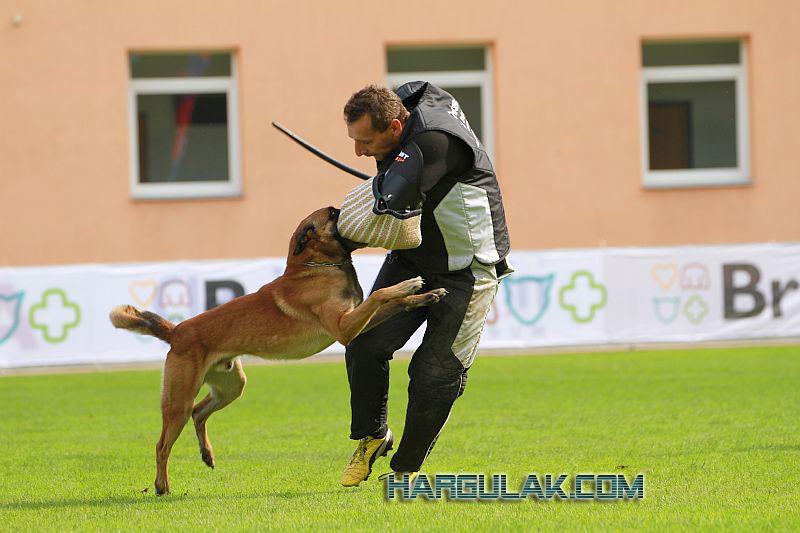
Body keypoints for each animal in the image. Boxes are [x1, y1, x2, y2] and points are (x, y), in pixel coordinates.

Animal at [109, 206, 446, 495]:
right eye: (334, 213)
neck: (315, 265)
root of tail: (177, 331)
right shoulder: (344, 328)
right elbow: (381, 295)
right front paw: (407, 285)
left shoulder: (356, 322)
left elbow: (393, 303)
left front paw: (424, 295)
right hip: (178, 400)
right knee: (162, 444)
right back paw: (161, 486)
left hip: (232, 386)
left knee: (199, 412)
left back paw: (207, 454)